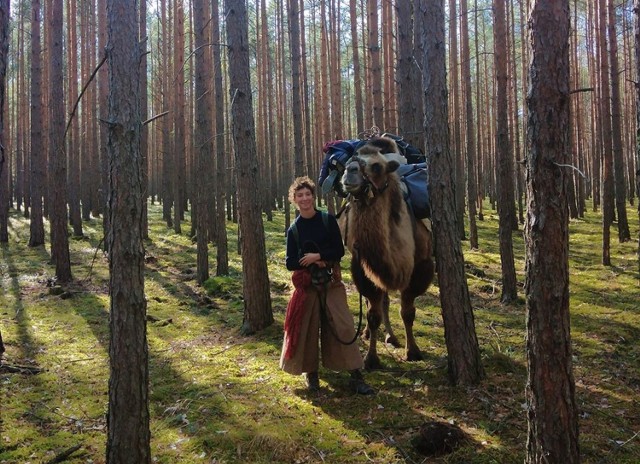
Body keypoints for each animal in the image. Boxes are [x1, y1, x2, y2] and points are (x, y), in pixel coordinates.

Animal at [336, 138, 436, 370]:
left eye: (376, 166)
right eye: (351, 159)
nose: (348, 172)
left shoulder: (422, 266)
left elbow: (408, 312)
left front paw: (413, 351)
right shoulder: (361, 264)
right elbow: (373, 314)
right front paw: (371, 358)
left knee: (386, 300)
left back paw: (392, 337)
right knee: (377, 301)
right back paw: (369, 333)